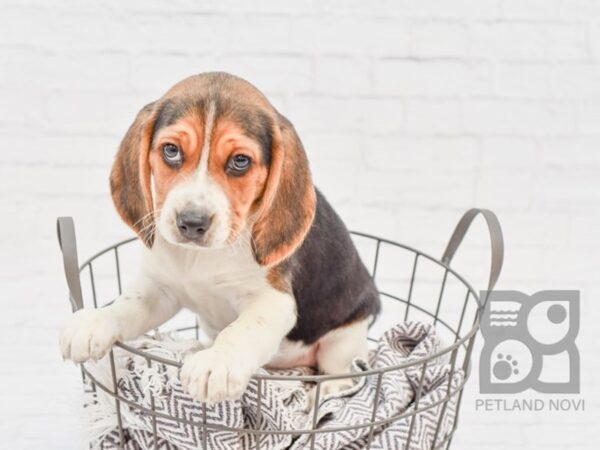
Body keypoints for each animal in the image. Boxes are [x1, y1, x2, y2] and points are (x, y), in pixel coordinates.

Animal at [61, 72, 380, 402]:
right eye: (171, 151)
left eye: (240, 161)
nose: (192, 222)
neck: (201, 257)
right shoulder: (158, 291)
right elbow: (125, 306)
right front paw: (94, 322)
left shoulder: (273, 302)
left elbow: (240, 330)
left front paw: (216, 363)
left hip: (347, 334)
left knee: (339, 365)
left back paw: (333, 386)